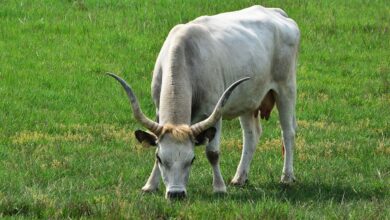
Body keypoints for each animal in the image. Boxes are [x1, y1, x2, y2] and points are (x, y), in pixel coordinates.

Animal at [108, 5, 300, 199]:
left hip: (286, 88)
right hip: (248, 100)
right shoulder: (157, 110)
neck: (186, 55)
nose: (176, 194)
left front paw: (219, 187)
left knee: (288, 132)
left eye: (191, 159)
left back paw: (287, 176)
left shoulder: (214, 111)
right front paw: (150, 185)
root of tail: (276, 13)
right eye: (160, 159)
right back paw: (239, 178)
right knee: (251, 135)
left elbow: (212, 153)